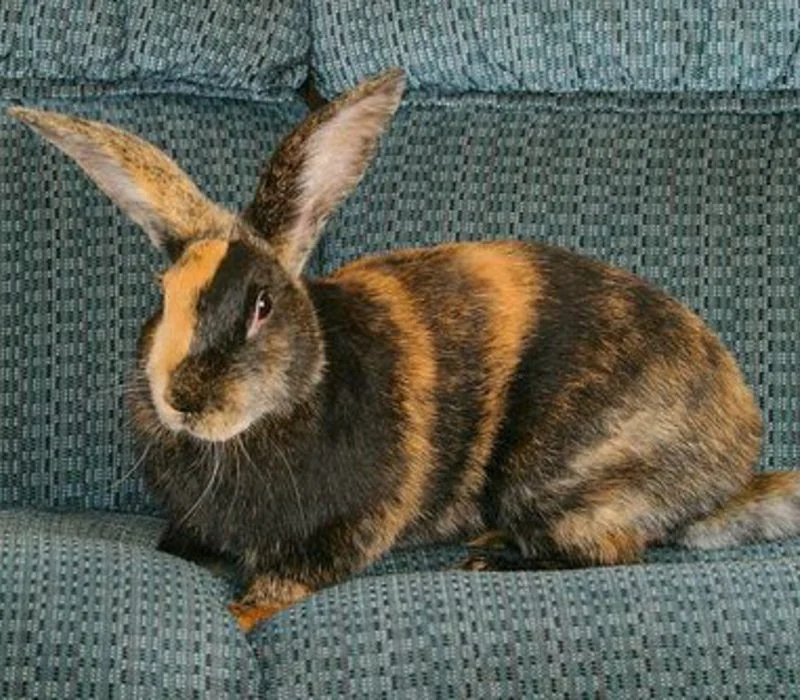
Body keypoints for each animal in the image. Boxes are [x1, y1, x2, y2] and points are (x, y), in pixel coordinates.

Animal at [10, 68, 800, 632]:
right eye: (163, 294)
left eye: (263, 305)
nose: (183, 400)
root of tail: (731, 470)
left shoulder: (345, 530)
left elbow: (283, 584)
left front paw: (241, 612)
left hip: (561, 477)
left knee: (612, 551)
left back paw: (489, 562)